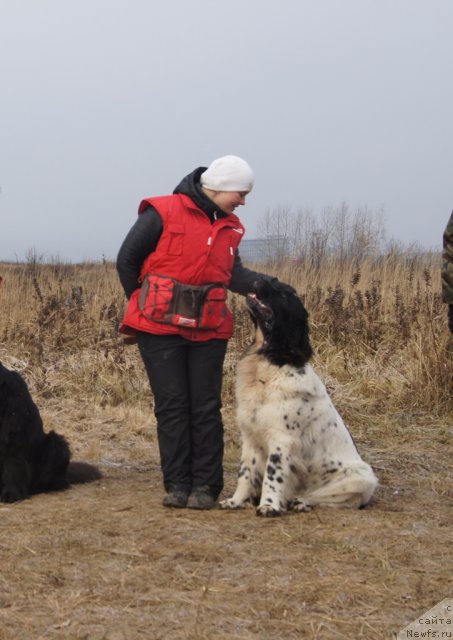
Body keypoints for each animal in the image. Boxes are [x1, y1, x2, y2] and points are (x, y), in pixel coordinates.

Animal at [219, 280, 378, 516]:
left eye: (285, 295)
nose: (259, 280)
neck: (270, 361)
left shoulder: (281, 441)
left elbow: (272, 476)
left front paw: (268, 505)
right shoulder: (250, 437)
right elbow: (245, 473)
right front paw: (236, 501)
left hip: (363, 478)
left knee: (334, 498)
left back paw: (301, 502)